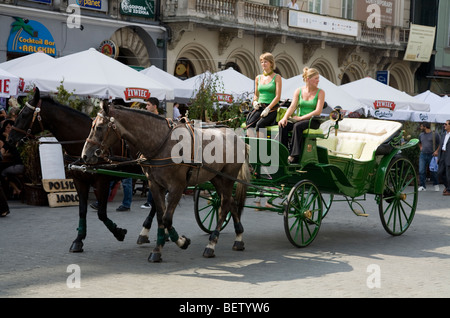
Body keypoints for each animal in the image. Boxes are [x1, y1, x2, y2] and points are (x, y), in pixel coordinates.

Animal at [8, 88, 158, 252]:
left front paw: (118, 232)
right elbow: (82, 210)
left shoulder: (102, 182)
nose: (10, 138)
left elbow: (101, 214)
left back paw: (146, 231)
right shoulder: (79, 181)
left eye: (24, 114)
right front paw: (78, 239)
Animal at [81, 103, 250, 262]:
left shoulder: (177, 187)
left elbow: (167, 218)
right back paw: (239, 238)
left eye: (99, 127)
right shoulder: (155, 185)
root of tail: (236, 136)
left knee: (224, 206)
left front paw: (181, 241)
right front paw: (158, 248)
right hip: (216, 178)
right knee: (231, 202)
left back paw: (211, 244)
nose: (85, 156)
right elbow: (160, 217)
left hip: (228, 178)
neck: (162, 142)